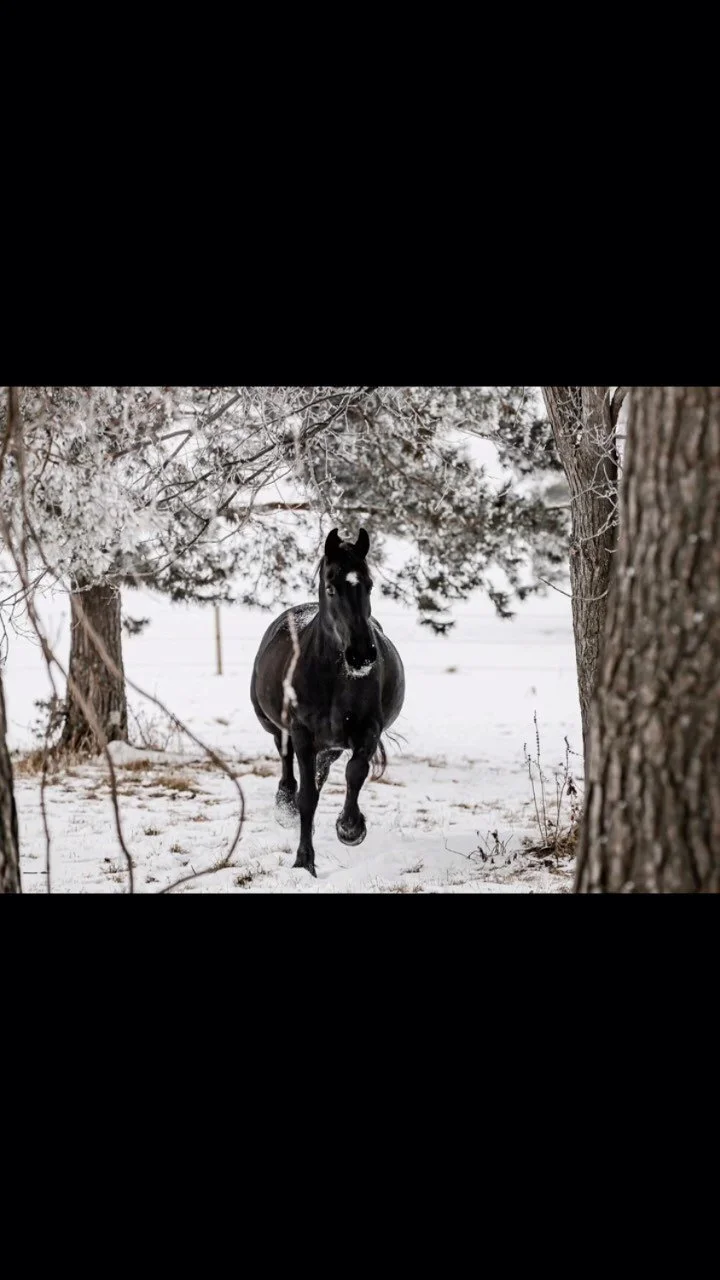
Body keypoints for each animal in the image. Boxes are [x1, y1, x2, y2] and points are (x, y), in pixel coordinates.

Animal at [250, 527, 405, 877]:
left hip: (331, 743)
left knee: (325, 770)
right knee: (287, 761)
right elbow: (307, 797)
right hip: (277, 728)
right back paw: (286, 805)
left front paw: (350, 828)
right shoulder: (302, 733)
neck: (334, 678)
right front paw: (304, 860)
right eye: (332, 587)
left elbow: (355, 772)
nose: (361, 655)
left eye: (369, 585)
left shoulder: (368, 731)